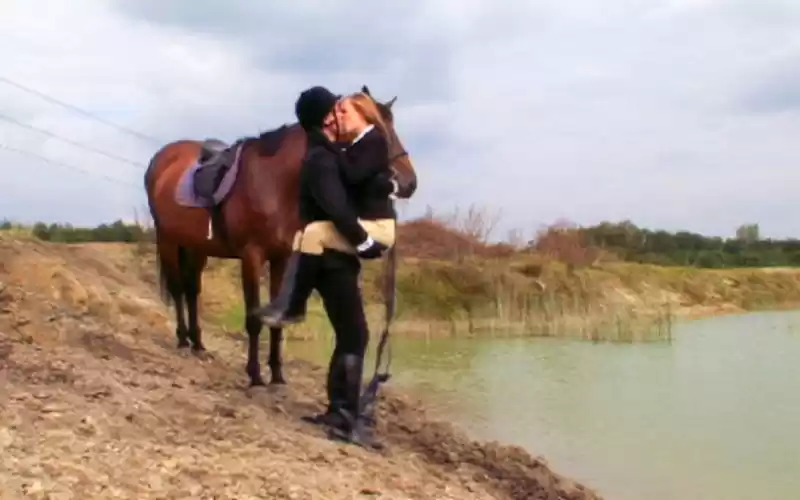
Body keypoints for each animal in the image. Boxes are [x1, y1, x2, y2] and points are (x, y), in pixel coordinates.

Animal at [143, 86, 417, 387]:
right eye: (375, 129)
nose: (408, 183)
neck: (274, 181)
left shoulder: (281, 259)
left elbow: (276, 319)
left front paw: (276, 373)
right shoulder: (252, 256)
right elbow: (254, 318)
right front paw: (254, 375)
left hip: (196, 247)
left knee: (192, 289)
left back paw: (198, 343)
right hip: (168, 240)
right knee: (178, 288)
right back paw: (183, 340)